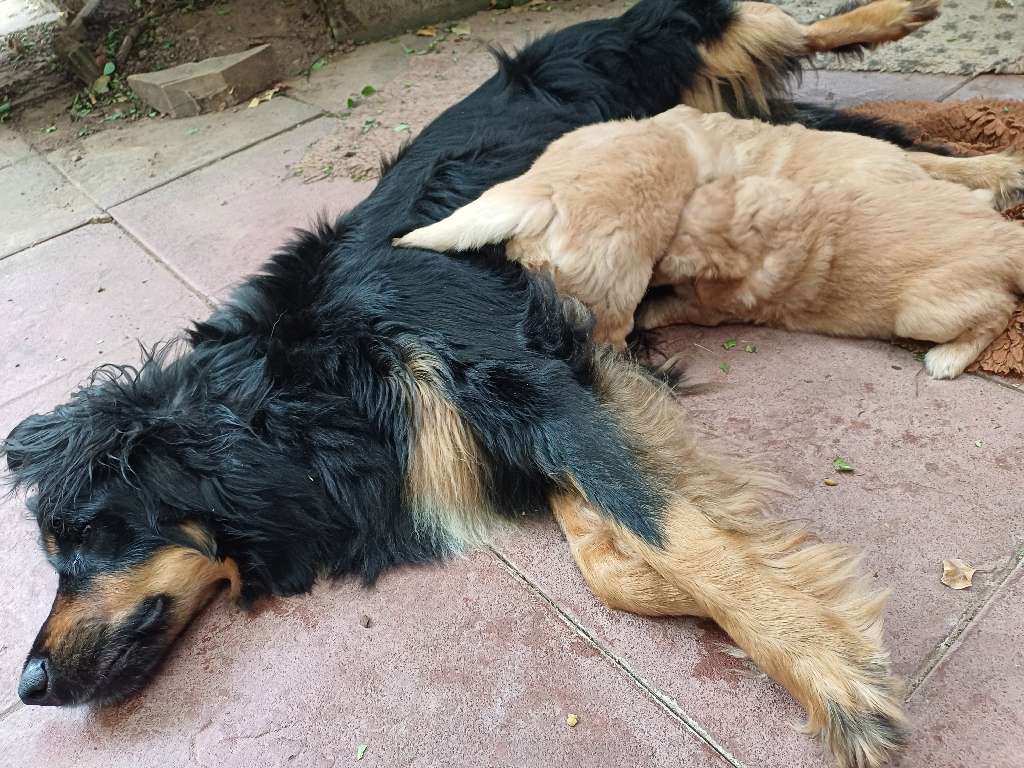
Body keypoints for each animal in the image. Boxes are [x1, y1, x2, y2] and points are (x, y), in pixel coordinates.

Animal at [3, 2, 943, 767]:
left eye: (83, 535)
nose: (30, 685)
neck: (302, 383)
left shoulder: (522, 372)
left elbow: (661, 522)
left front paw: (824, 668)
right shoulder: (516, 411)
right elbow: (614, 554)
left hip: (655, 41)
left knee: (770, 26)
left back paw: (897, 21)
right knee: (856, 121)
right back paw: (953, 144)